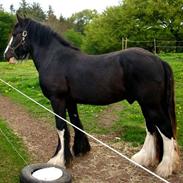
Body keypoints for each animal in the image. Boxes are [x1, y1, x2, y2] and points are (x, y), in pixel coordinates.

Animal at [4, 15, 180, 178]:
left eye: (15, 33)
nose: (6, 55)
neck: (55, 58)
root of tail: (159, 60)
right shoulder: (70, 101)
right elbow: (75, 123)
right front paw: (79, 150)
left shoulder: (57, 100)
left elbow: (61, 127)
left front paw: (58, 160)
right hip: (146, 104)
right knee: (151, 128)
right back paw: (143, 159)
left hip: (151, 104)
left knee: (165, 129)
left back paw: (165, 168)